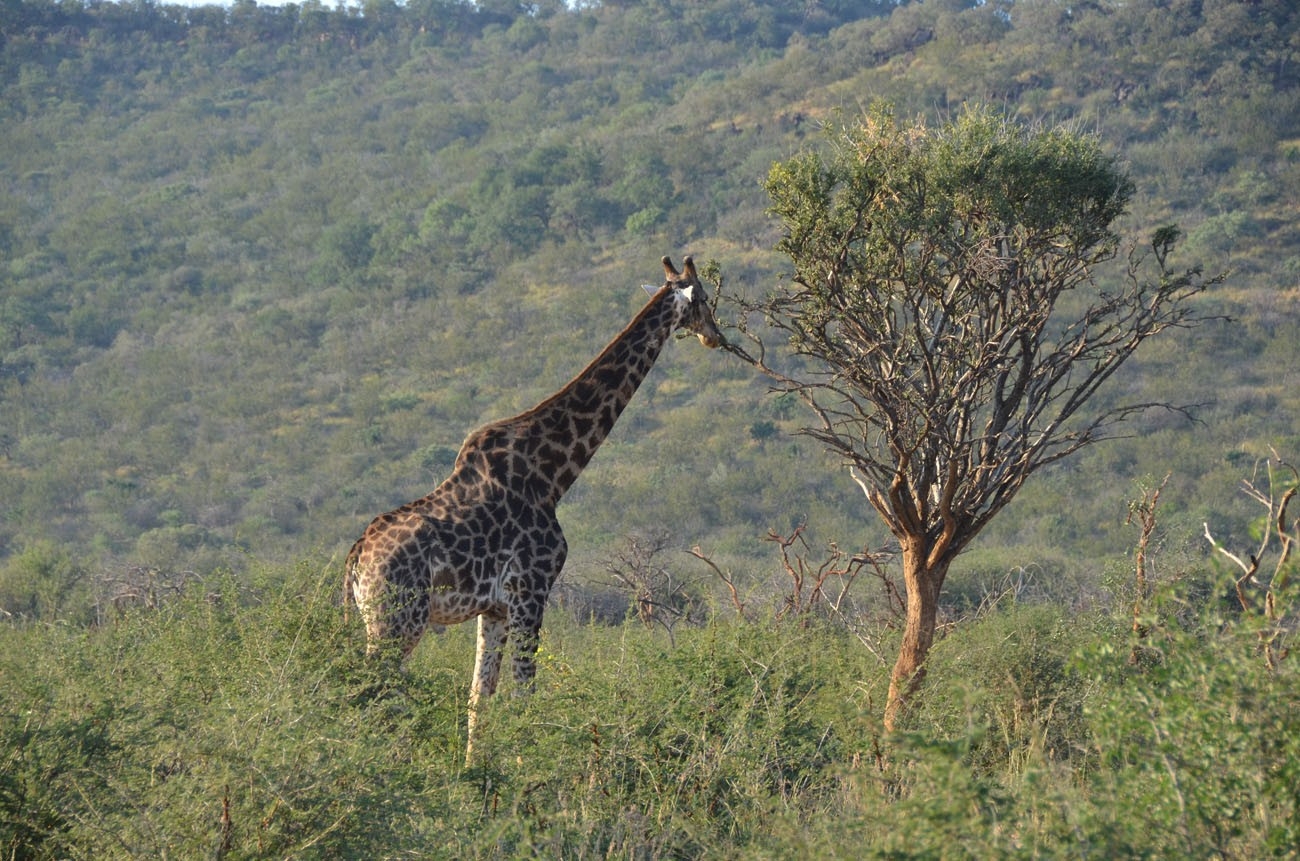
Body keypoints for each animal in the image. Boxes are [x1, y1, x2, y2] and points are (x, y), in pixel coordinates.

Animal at [343, 256, 722, 764]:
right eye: (704, 298)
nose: (715, 336)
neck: (553, 474)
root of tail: (357, 557)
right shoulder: (532, 590)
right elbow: (524, 694)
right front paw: (528, 772)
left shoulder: (495, 608)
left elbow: (479, 698)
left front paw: (475, 773)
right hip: (397, 619)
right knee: (369, 689)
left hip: (381, 618)